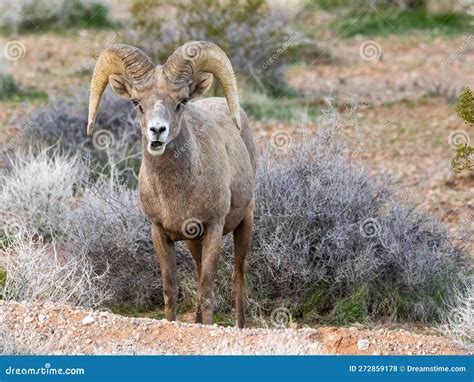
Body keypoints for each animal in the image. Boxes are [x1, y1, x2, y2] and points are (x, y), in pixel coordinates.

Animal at [85, 41, 256, 328]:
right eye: (136, 102)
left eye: (182, 101)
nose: (157, 131)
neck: (176, 192)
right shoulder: (161, 232)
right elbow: (170, 289)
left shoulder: (213, 228)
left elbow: (206, 290)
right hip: (193, 242)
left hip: (245, 222)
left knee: (238, 278)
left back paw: (240, 327)